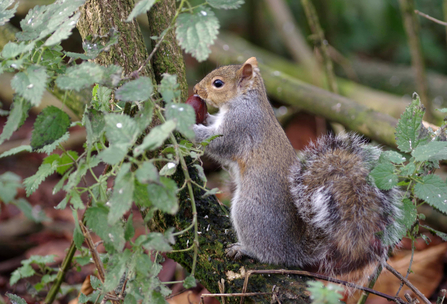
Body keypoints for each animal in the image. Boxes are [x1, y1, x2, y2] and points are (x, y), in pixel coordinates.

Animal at [192, 56, 402, 276]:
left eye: (218, 83)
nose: (196, 89)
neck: (245, 101)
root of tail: (292, 250)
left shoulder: (241, 126)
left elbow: (218, 143)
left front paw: (188, 124)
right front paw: (202, 116)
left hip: (248, 212)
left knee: (266, 254)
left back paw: (244, 249)